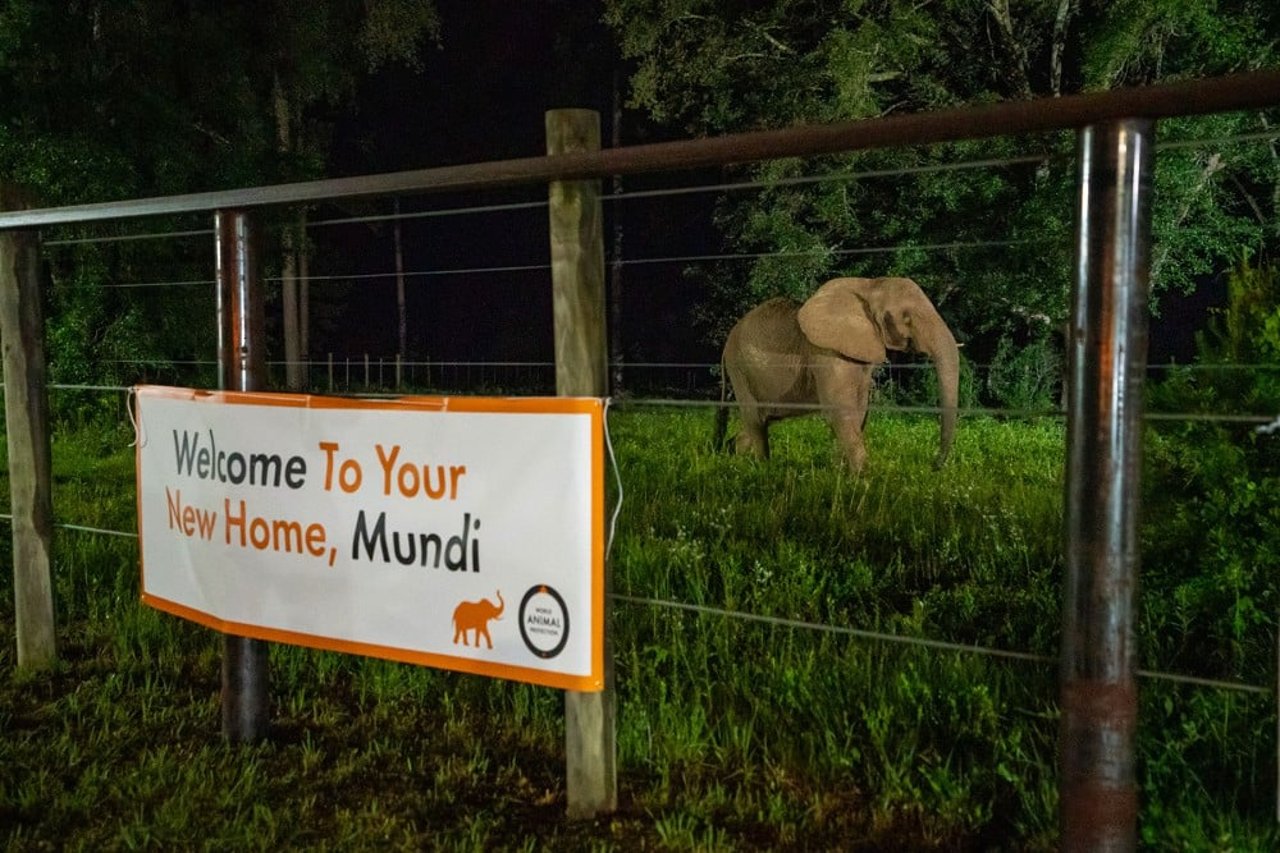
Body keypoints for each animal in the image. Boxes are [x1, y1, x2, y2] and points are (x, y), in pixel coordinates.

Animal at [711, 274, 962, 468]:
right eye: (907, 318)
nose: (934, 466)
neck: (869, 286)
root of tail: (726, 346)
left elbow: (859, 410)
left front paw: (840, 471)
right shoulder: (825, 352)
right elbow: (840, 409)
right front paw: (863, 479)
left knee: (759, 420)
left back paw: (733, 455)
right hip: (740, 369)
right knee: (755, 420)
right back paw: (763, 468)